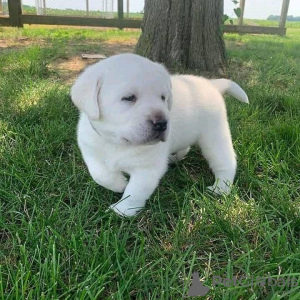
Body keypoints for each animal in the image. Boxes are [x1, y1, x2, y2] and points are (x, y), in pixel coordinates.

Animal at [71, 54, 248, 217]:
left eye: (163, 98)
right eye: (129, 98)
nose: (162, 123)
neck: (117, 143)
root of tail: (211, 84)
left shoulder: (147, 168)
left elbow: (135, 190)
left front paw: (123, 209)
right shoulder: (91, 153)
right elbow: (100, 175)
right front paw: (119, 184)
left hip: (214, 135)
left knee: (225, 161)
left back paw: (221, 188)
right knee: (185, 147)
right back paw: (174, 157)